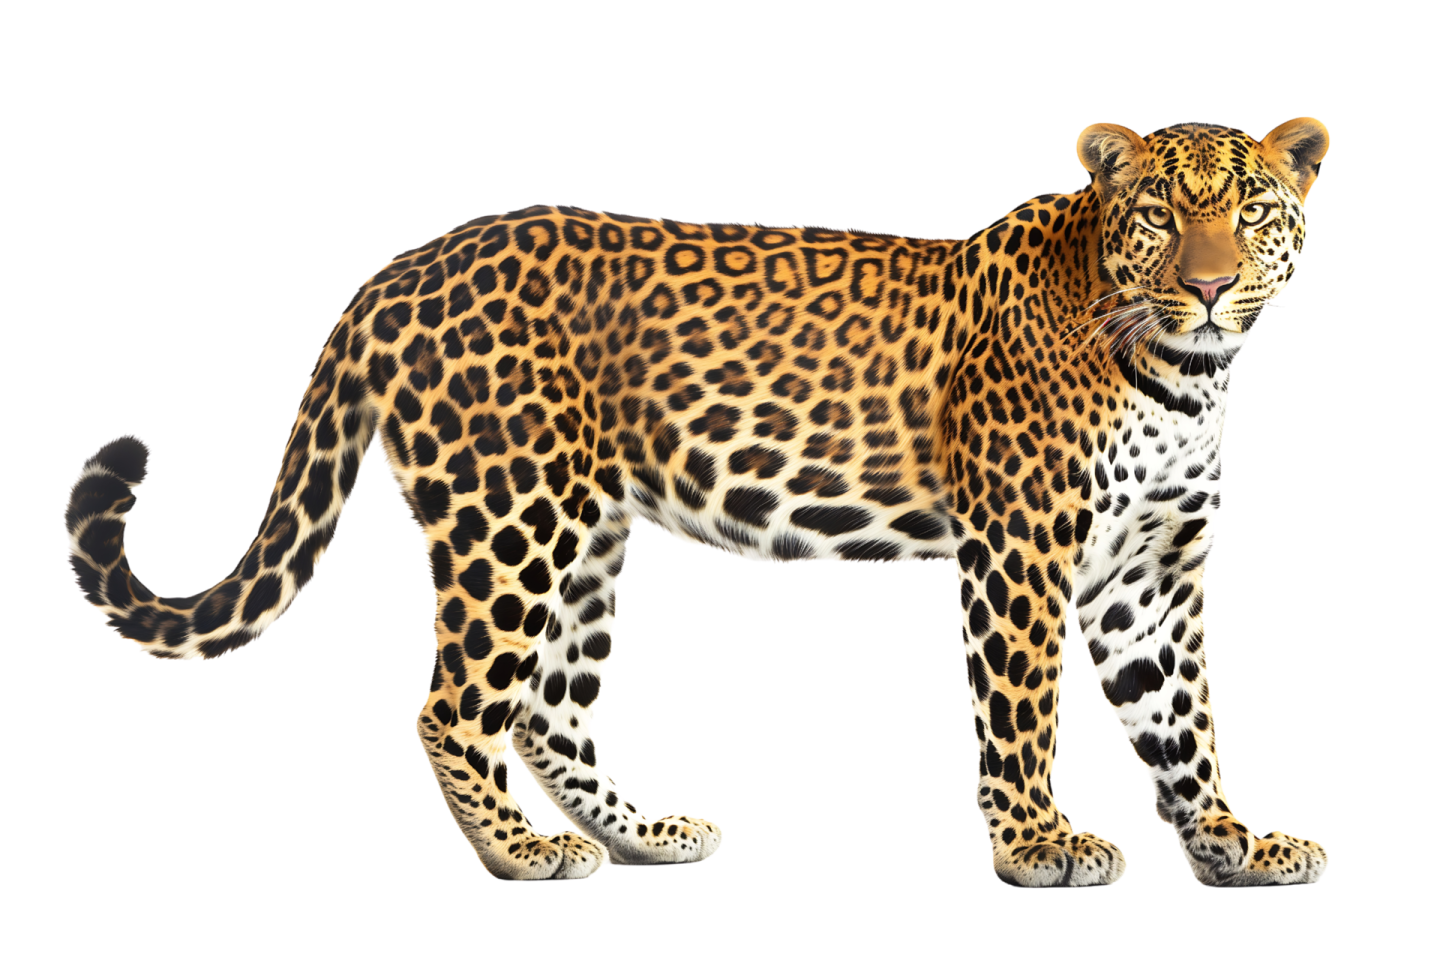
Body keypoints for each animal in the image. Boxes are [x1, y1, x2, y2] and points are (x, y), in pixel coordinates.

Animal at [63, 117, 1331, 886]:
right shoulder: (1018, 551)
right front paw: (1039, 846)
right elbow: (1023, 711)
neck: (1184, 373)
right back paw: (522, 854)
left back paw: (647, 837)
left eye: (1253, 212)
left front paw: (1233, 843)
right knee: (452, 709)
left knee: (546, 711)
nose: (1209, 285)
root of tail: (407, 263)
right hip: (503, 519)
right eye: (1159, 215)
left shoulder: (1150, 574)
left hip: (582, 535)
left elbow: (1181, 718)